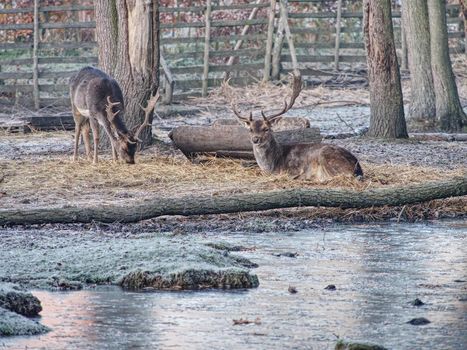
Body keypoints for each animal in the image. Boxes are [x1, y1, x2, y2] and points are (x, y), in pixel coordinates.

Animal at [229, 74, 364, 183]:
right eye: (250, 129)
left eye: (266, 128)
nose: (255, 139)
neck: (272, 164)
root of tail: (358, 168)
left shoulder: (292, 169)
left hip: (326, 156)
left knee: (341, 177)